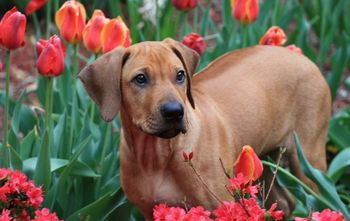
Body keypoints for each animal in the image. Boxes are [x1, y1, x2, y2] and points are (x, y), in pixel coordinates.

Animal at [78, 38, 330, 220]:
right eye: (140, 79)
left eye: (180, 75)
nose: (174, 112)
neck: (157, 156)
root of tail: (301, 56)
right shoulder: (151, 210)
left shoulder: (221, 207)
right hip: (266, 158)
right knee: (284, 202)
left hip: (308, 162)